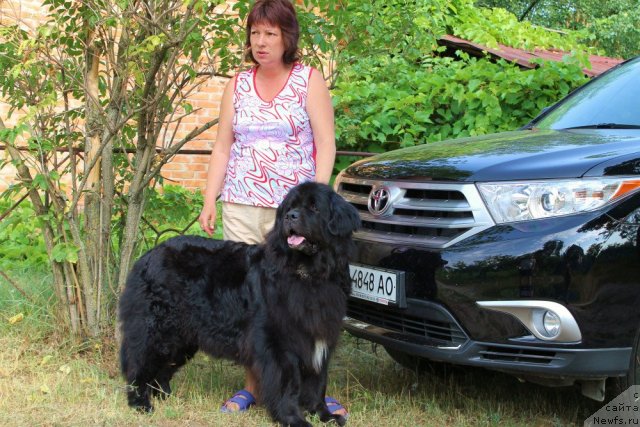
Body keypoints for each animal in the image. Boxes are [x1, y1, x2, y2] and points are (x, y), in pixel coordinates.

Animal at [119, 183, 360, 427]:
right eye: (290, 207)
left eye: (314, 207)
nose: (291, 216)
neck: (309, 273)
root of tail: (147, 256)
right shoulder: (281, 343)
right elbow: (288, 383)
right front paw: (293, 419)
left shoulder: (320, 339)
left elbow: (318, 383)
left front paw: (325, 416)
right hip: (156, 330)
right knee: (139, 365)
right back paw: (141, 404)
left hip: (182, 337)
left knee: (162, 369)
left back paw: (166, 396)